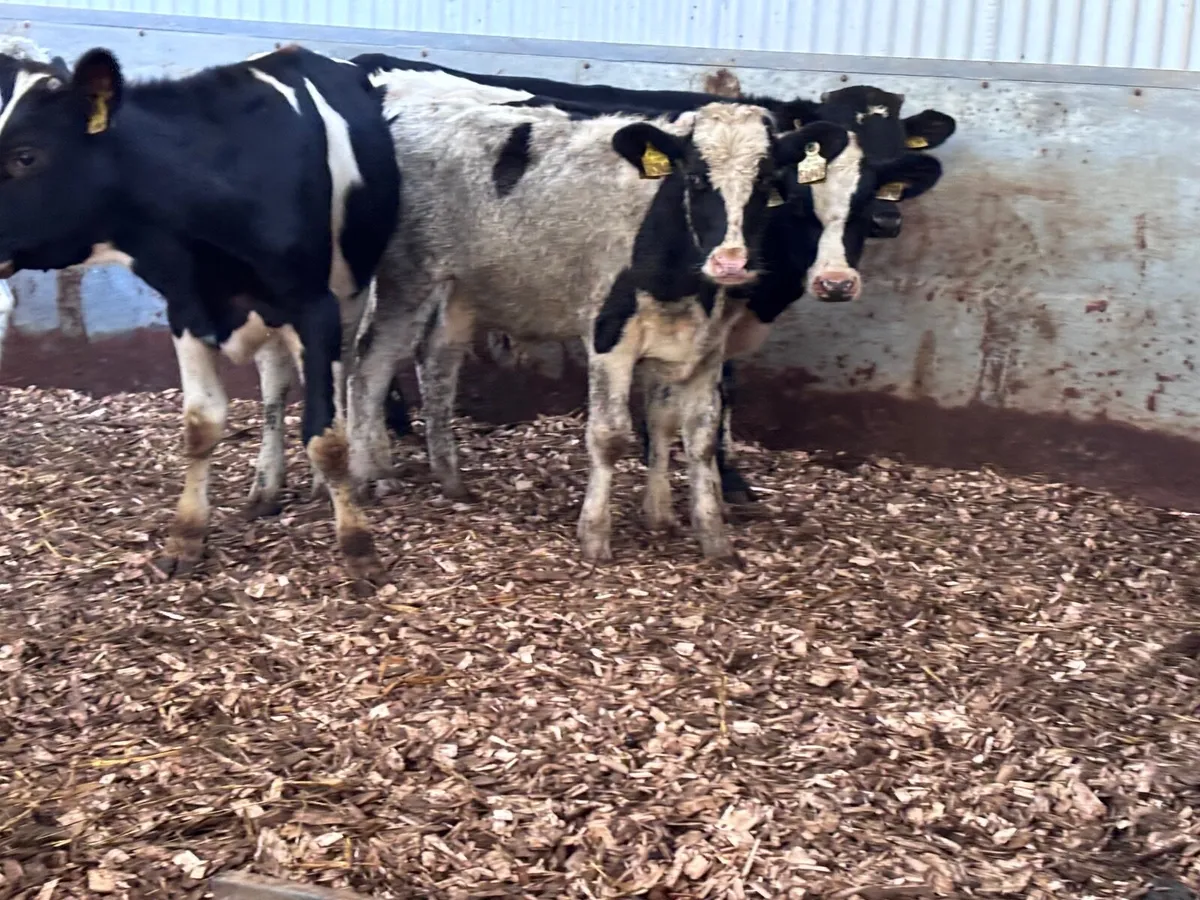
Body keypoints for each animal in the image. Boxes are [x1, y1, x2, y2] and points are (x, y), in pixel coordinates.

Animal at [0, 44, 401, 584]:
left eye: (26, 156)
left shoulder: (313, 305)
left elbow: (326, 433)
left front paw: (358, 547)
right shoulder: (187, 307)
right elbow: (202, 425)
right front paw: (186, 536)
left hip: (350, 291)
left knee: (342, 381)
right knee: (274, 387)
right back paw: (265, 487)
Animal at [333, 59, 952, 507]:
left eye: (880, 176)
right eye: (802, 198)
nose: (837, 280)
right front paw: (721, 479)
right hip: (400, 274)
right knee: (366, 355)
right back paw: (374, 453)